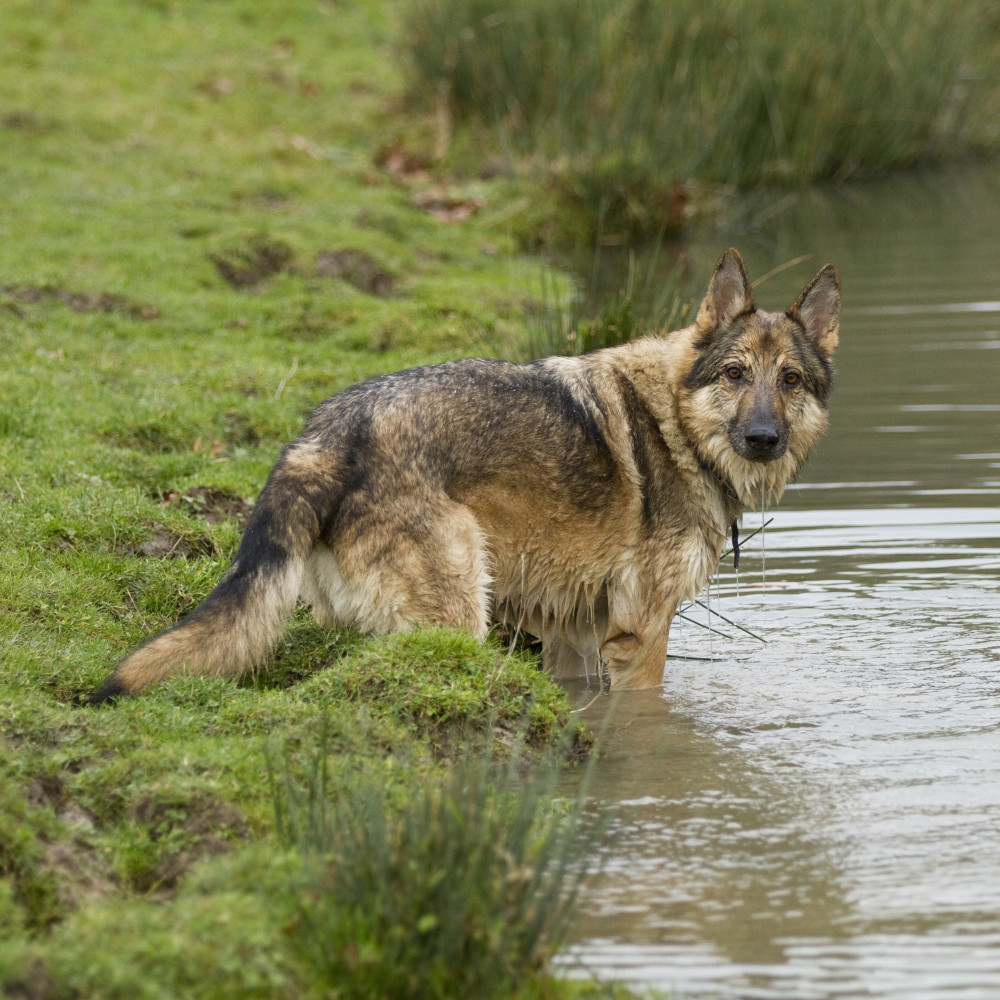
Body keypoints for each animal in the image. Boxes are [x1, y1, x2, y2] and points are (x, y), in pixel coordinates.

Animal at [92, 250, 836, 704]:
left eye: (790, 381)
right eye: (735, 374)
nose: (763, 439)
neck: (678, 426)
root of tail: (325, 434)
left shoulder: (574, 637)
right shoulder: (640, 637)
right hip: (458, 619)